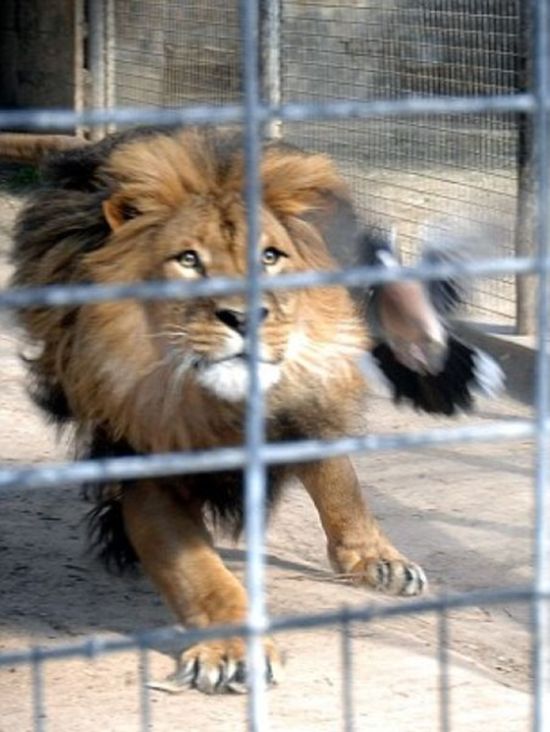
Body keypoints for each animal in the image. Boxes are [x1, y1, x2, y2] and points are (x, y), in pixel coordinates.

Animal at [9, 129, 500, 696]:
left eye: (270, 256)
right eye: (188, 260)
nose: (246, 317)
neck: (220, 403)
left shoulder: (305, 407)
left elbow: (340, 482)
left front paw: (375, 557)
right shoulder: (148, 465)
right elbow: (199, 571)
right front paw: (229, 650)